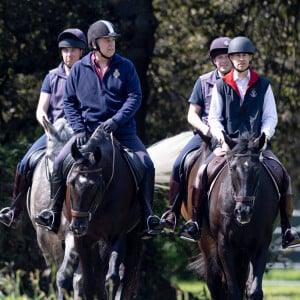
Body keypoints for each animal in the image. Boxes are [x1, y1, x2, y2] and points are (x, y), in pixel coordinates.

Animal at [67, 127, 143, 300]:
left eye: (93, 186)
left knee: (126, 277)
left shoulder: (118, 235)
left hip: (133, 237)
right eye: (71, 182)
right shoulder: (83, 240)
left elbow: (113, 279)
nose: (78, 227)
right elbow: (89, 284)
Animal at [183, 134, 282, 300]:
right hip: (207, 242)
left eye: (257, 169)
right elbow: (232, 291)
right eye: (232, 168)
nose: (243, 212)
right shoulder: (224, 243)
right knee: (215, 281)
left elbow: (254, 291)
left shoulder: (261, 242)